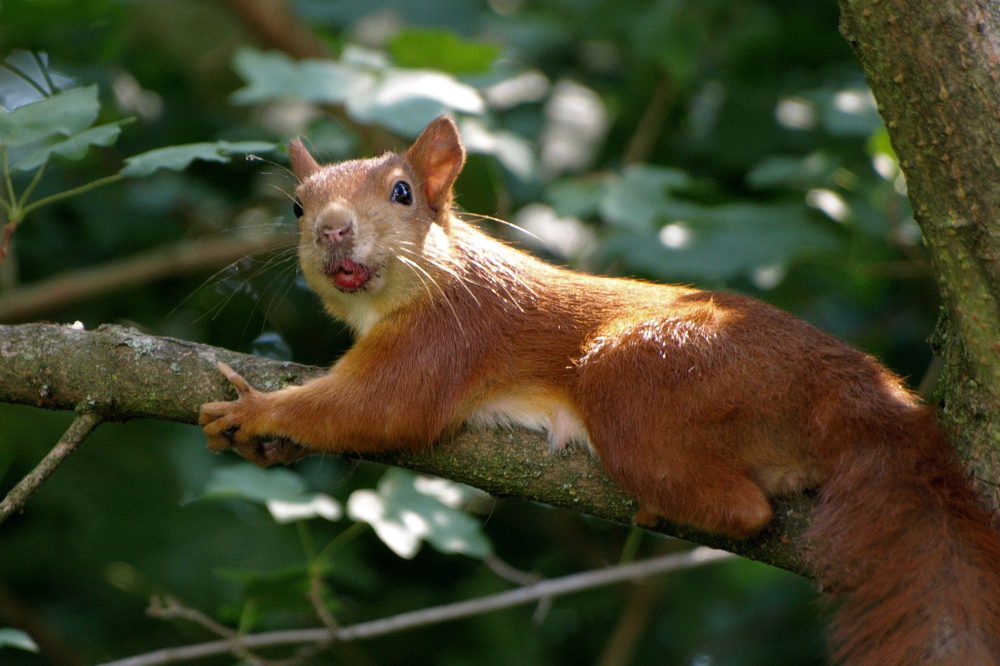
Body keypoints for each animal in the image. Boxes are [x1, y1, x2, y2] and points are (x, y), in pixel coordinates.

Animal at [199, 116, 1000, 660]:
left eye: (401, 193)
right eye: (298, 207)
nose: (332, 232)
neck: (437, 274)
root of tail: (855, 388)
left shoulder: (445, 339)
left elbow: (377, 410)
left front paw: (255, 408)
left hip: (639, 372)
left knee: (742, 509)